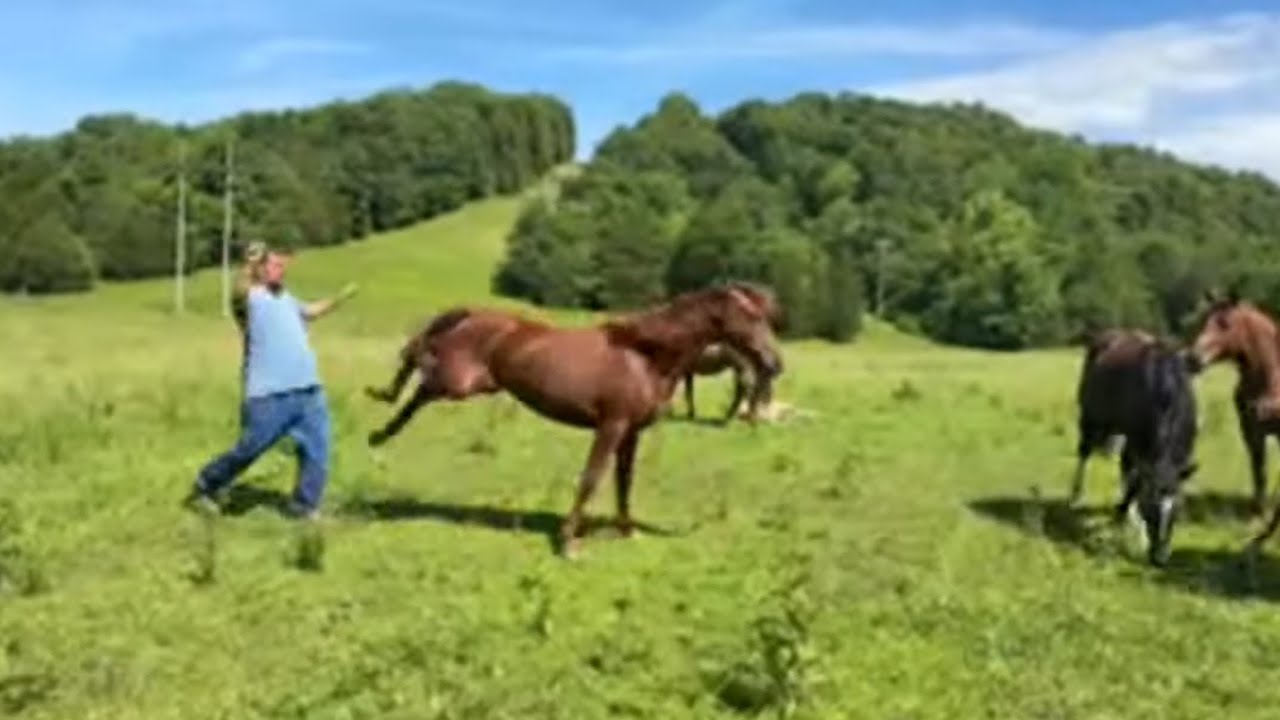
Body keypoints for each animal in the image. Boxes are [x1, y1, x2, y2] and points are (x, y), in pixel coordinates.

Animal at [363, 282, 784, 558]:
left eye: (766, 317)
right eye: (749, 317)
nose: (774, 363)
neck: (644, 357)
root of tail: (474, 315)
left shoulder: (630, 432)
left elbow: (624, 482)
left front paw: (627, 532)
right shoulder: (611, 425)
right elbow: (591, 479)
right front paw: (568, 542)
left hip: (472, 384)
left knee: (420, 380)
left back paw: (380, 432)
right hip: (457, 381)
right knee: (419, 359)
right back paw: (379, 428)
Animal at [1072, 327, 1200, 566]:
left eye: (1177, 510)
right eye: (1150, 508)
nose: (1160, 558)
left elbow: (1135, 481)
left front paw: (1126, 513)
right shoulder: (1138, 443)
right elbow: (1136, 483)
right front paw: (1133, 522)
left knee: (1124, 467)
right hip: (1090, 416)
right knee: (1084, 452)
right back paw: (1076, 496)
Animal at [1187, 289, 1280, 553]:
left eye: (1225, 323)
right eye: (1203, 320)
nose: (1193, 359)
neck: (1270, 377)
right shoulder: (1251, 431)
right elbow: (1259, 474)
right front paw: (1256, 520)